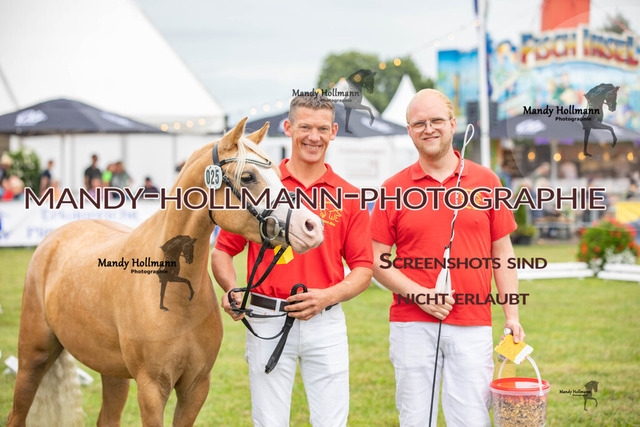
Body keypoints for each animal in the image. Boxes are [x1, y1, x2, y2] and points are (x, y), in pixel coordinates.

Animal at [7, 118, 324, 426]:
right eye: (248, 177)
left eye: (280, 176)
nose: (311, 226)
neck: (179, 305)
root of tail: (53, 238)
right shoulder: (152, 388)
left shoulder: (196, 386)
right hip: (33, 357)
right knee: (17, 414)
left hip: (111, 372)